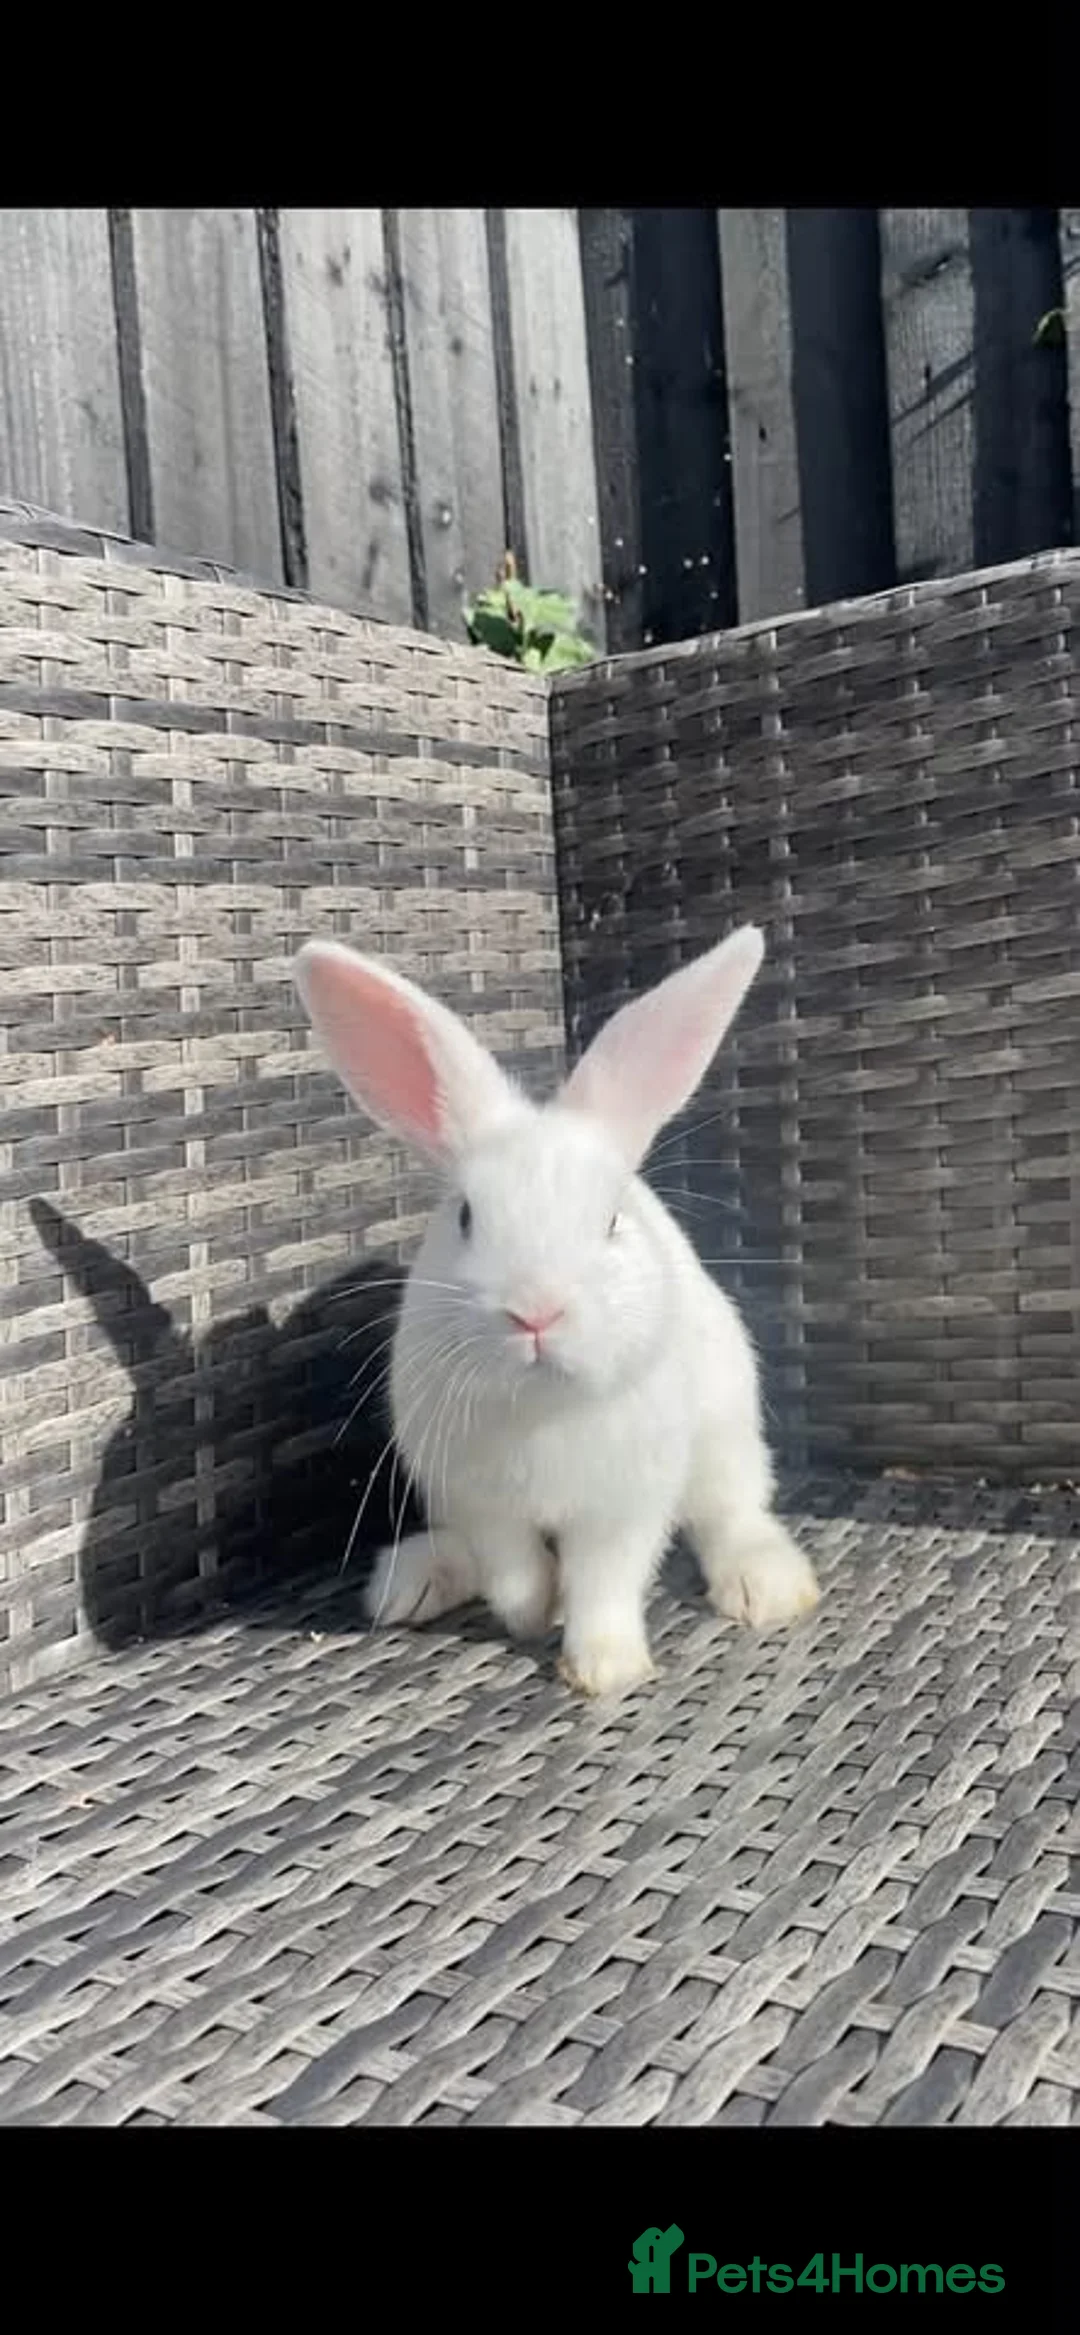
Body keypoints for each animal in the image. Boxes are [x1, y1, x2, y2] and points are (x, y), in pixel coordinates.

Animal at [294, 925, 819, 1698]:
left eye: (612, 1220)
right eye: (465, 1216)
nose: (535, 1313)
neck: (541, 1407)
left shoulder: (624, 1505)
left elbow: (606, 1582)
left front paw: (604, 1668)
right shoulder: (478, 1498)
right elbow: (512, 1571)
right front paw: (536, 1611)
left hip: (727, 1438)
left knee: (732, 1511)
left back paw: (766, 1586)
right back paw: (413, 1582)